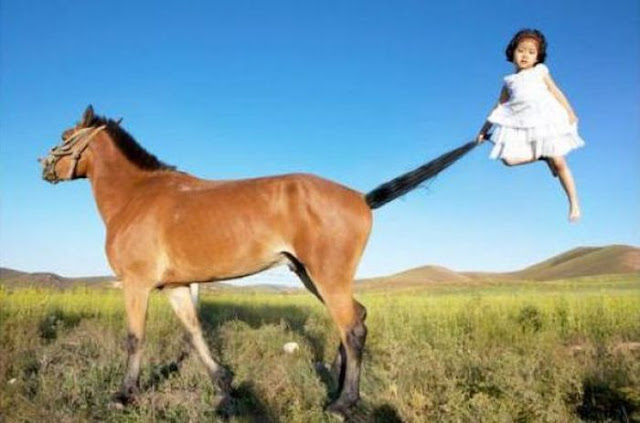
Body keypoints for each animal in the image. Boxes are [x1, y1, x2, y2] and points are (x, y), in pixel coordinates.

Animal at [40, 105, 475, 418]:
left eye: (64, 137)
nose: (43, 167)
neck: (137, 196)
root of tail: (361, 198)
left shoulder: (136, 284)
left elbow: (134, 339)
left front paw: (123, 394)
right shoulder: (177, 287)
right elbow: (194, 334)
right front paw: (225, 387)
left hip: (326, 277)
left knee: (353, 327)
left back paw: (342, 403)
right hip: (310, 276)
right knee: (357, 317)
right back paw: (338, 386)